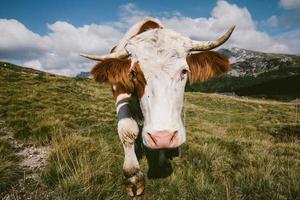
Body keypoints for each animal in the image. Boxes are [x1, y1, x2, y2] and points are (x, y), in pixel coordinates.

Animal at [80, 16, 234, 197]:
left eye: (184, 71)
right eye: (133, 73)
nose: (163, 137)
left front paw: (161, 161)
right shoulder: (120, 94)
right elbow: (127, 130)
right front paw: (133, 177)